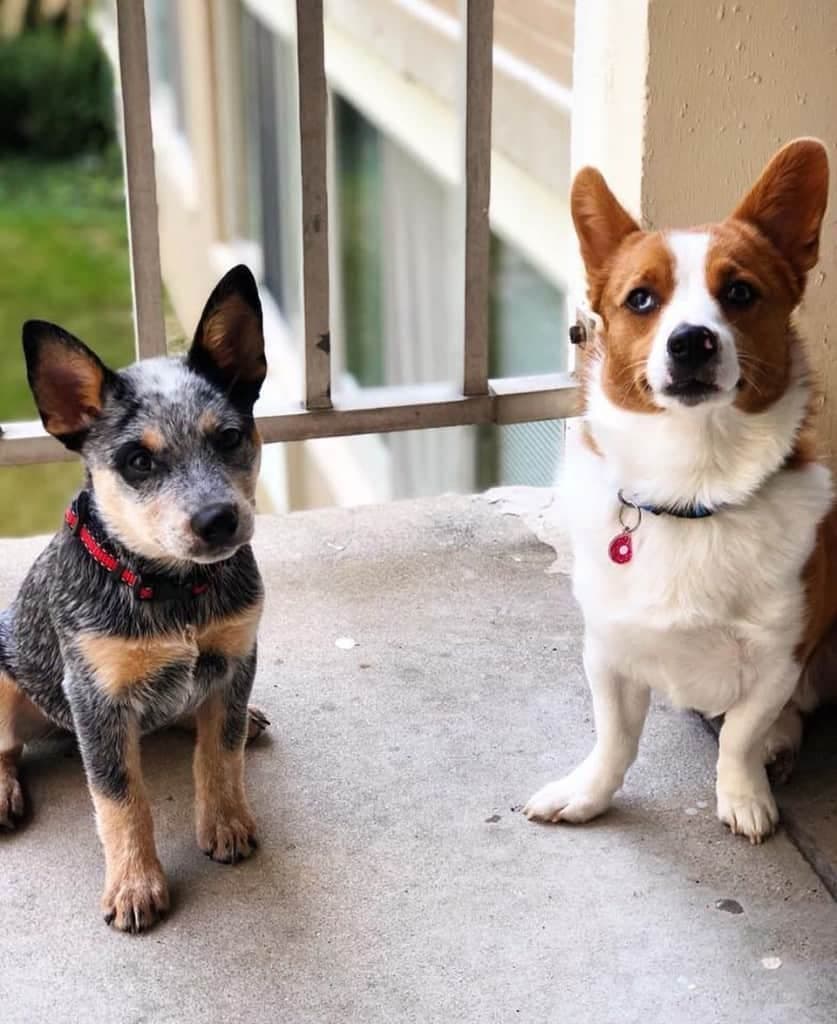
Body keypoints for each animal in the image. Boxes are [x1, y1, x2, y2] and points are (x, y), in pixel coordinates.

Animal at [0, 266, 268, 937]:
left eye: (229, 437)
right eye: (138, 460)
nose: (219, 519)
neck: (174, 589)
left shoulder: (236, 656)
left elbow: (219, 754)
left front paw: (226, 820)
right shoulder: (96, 698)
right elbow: (121, 801)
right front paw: (135, 884)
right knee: (7, 745)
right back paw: (3, 790)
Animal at [524, 138, 831, 839]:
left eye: (740, 292)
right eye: (641, 299)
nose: (692, 341)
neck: (695, 489)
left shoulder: (781, 654)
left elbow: (740, 736)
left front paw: (743, 796)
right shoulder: (608, 648)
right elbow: (614, 739)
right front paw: (588, 793)